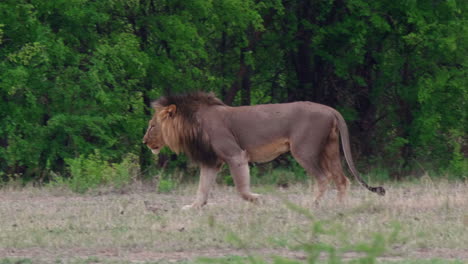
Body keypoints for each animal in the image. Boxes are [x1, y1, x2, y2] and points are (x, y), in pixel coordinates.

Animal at [143, 92, 384, 209]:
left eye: (152, 125)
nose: (144, 141)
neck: (193, 123)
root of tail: (331, 109)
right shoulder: (211, 161)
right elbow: (202, 189)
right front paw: (193, 207)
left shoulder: (235, 154)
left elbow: (241, 188)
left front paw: (258, 199)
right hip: (330, 149)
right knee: (342, 179)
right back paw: (339, 207)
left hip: (304, 150)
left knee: (324, 178)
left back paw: (312, 205)